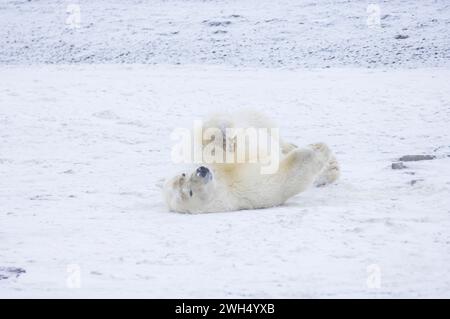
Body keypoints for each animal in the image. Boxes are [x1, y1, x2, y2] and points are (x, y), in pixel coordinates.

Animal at [163, 111, 340, 214]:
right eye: (189, 192)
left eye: (183, 174)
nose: (201, 170)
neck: (225, 180)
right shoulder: (249, 191)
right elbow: (287, 176)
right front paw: (318, 149)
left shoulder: (211, 159)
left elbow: (217, 144)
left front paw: (225, 141)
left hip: (256, 121)